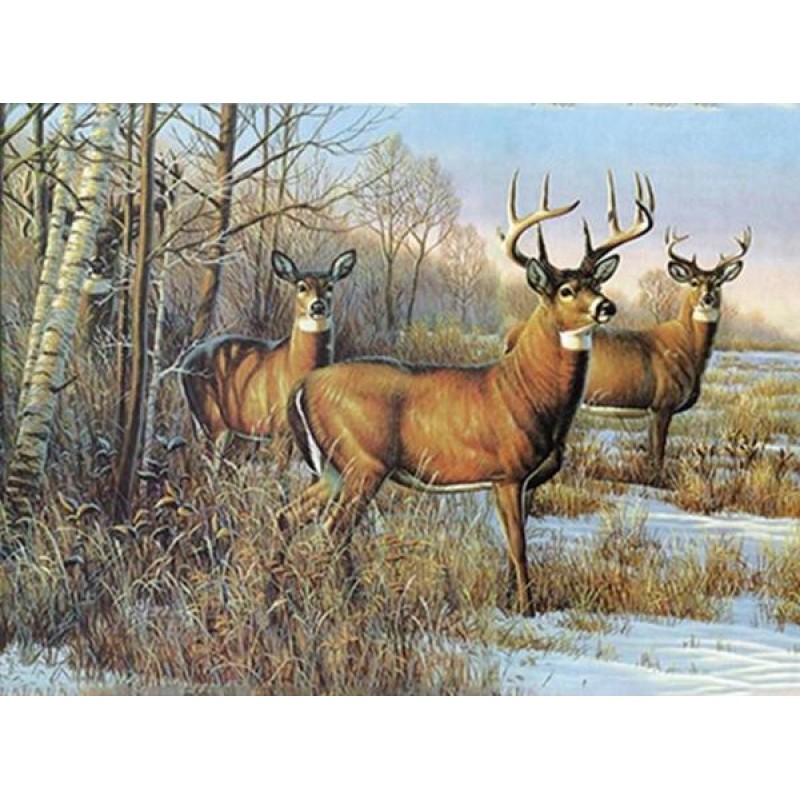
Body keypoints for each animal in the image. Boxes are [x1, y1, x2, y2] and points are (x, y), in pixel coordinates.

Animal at [180, 249, 357, 466]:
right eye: (301, 286)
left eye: (330, 286)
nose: (318, 306)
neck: (295, 366)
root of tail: (185, 363)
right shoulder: (278, 426)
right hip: (210, 417)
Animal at [277, 171, 655, 616]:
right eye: (565, 291)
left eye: (596, 282)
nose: (606, 306)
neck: (528, 392)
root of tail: (303, 386)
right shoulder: (508, 473)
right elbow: (519, 547)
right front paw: (527, 610)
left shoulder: (525, 482)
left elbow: (512, 547)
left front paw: (510, 602)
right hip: (363, 461)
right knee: (334, 528)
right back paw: (353, 603)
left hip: (335, 468)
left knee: (287, 516)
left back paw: (276, 594)